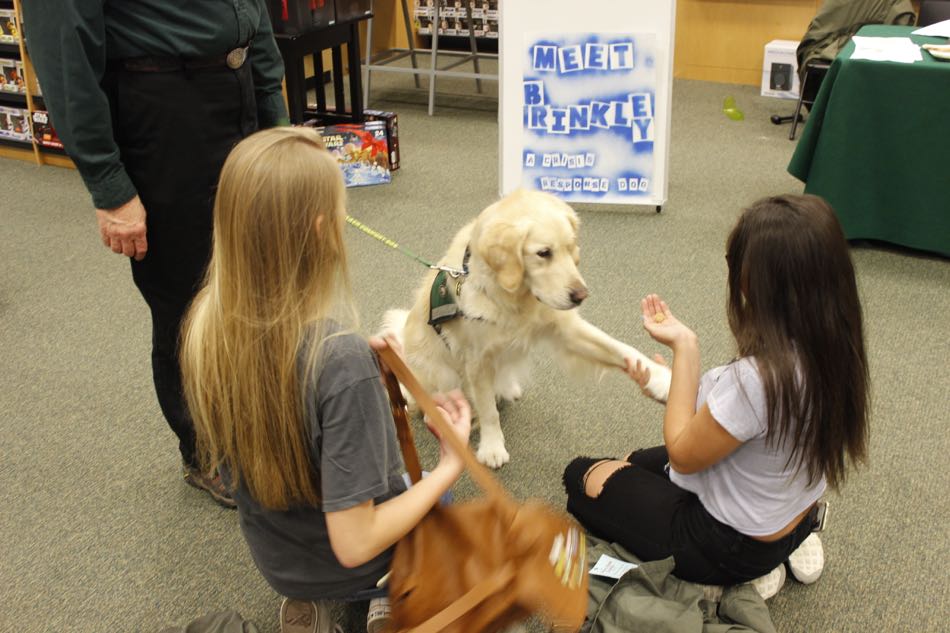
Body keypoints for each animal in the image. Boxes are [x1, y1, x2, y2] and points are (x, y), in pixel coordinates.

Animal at [378, 190, 668, 466]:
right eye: (543, 253)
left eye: (571, 247)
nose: (581, 295)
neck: (517, 299)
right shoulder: (477, 360)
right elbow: (488, 411)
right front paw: (492, 447)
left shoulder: (567, 329)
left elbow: (620, 348)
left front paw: (660, 378)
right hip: (440, 373)